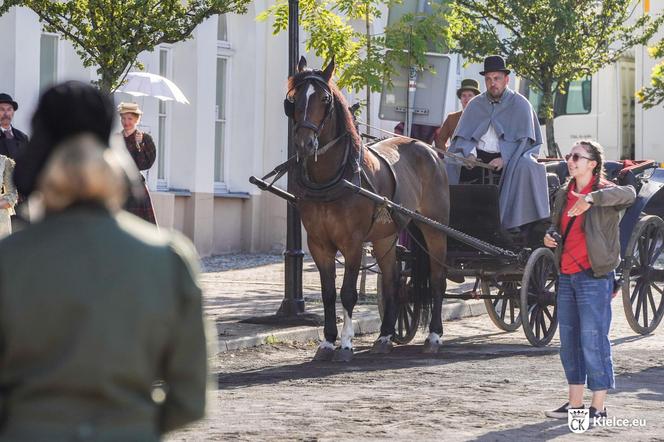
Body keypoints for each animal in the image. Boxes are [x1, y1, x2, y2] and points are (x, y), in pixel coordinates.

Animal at [286, 56, 452, 360]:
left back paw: (434, 336)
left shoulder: (352, 242)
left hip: (434, 229)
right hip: (386, 235)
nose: (305, 143)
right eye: (294, 99)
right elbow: (329, 293)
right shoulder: (319, 244)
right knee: (393, 281)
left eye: (325, 98)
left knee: (437, 279)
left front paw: (346, 344)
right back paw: (385, 336)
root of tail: (428, 149)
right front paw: (327, 342)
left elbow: (347, 293)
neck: (331, 178)